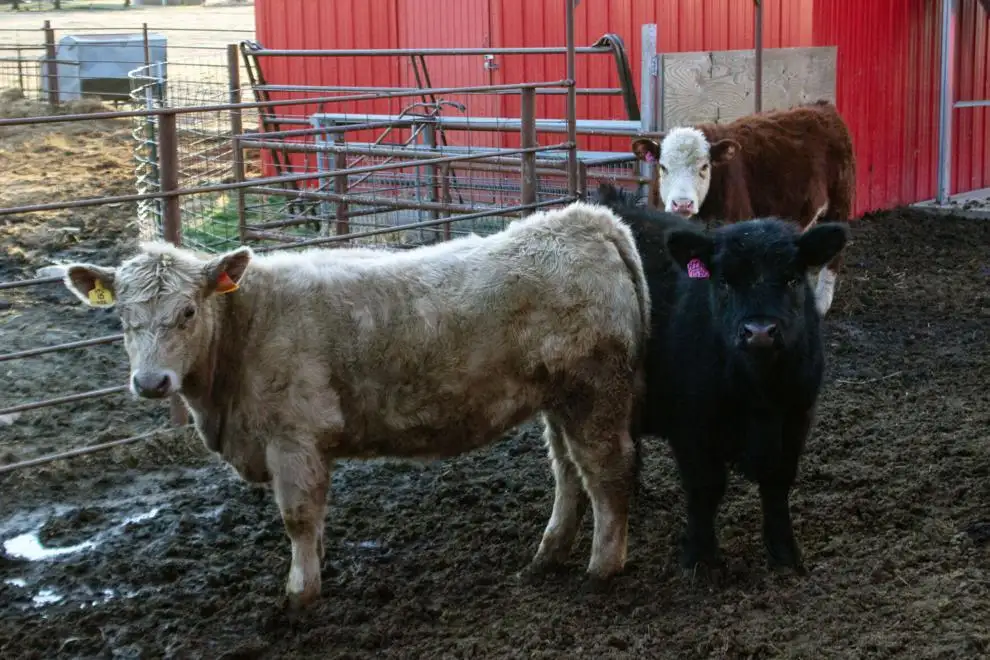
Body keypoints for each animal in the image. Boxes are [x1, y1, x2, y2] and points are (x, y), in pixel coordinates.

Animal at [58, 201, 651, 610]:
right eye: (122, 317)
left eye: (186, 312)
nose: (151, 381)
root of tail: (584, 220)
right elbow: (315, 521)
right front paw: (316, 570)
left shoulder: (294, 438)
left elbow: (298, 517)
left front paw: (299, 594)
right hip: (559, 400)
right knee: (568, 472)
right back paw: (547, 556)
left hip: (595, 394)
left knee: (607, 473)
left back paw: (602, 569)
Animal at [596, 182, 848, 577]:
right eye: (725, 281)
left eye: (792, 279)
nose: (759, 332)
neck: (759, 393)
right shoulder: (691, 427)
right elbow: (706, 487)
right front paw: (700, 557)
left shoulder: (797, 417)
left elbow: (777, 483)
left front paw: (785, 552)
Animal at [630, 100, 856, 318]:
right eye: (663, 167)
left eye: (704, 167)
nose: (682, 203)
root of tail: (821, 107)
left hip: (839, 204)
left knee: (832, 261)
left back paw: (821, 304)